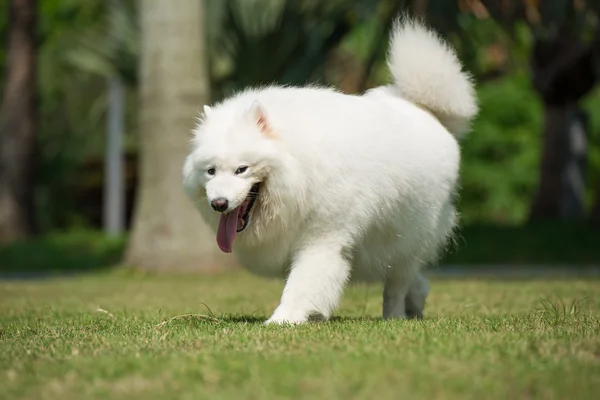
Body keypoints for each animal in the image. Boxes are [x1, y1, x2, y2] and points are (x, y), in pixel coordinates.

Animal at [183, 18, 478, 324]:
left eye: (242, 169)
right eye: (210, 171)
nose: (218, 204)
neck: (299, 164)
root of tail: (427, 111)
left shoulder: (322, 238)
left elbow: (303, 283)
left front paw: (283, 319)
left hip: (407, 240)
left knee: (396, 286)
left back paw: (395, 316)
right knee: (412, 280)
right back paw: (415, 303)